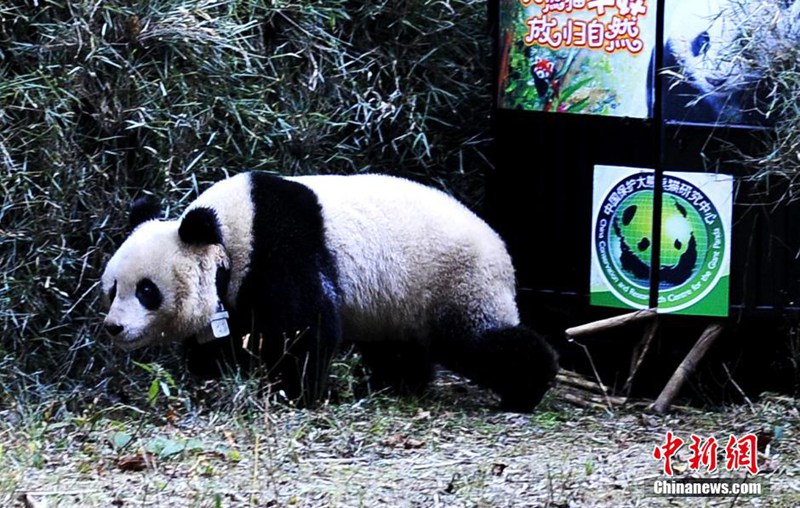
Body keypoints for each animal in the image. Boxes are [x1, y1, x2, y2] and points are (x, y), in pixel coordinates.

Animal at [101, 173, 556, 410]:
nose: (113, 327)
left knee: (474, 341)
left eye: (146, 290)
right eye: (111, 289)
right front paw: (210, 362)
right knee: (399, 348)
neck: (227, 233)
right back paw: (392, 385)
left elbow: (305, 327)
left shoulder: (280, 247)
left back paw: (527, 388)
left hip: (453, 281)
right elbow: (233, 332)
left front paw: (295, 392)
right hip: (397, 302)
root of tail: (500, 248)